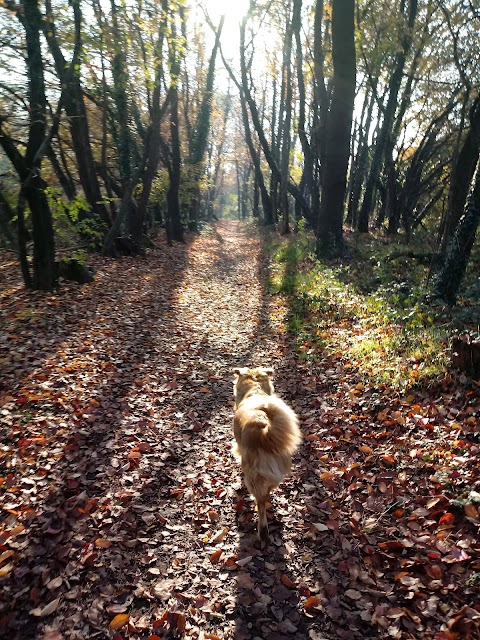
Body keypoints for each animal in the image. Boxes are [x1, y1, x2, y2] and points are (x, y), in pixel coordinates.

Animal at [232, 364, 300, 540]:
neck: (254, 390)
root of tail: (263, 429)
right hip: (276, 473)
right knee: (267, 492)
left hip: (253, 477)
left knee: (260, 502)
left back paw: (262, 530)